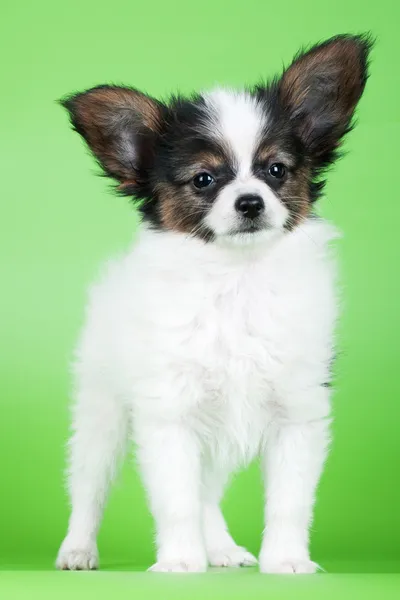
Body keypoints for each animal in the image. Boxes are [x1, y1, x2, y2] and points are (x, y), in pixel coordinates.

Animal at [56, 35, 372, 576]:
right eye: (203, 180)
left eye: (275, 170)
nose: (250, 202)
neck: (236, 278)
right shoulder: (171, 413)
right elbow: (176, 500)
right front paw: (181, 563)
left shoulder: (298, 411)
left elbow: (289, 500)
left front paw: (286, 561)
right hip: (101, 409)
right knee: (89, 486)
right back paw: (78, 550)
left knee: (207, 492)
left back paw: (221, 548)